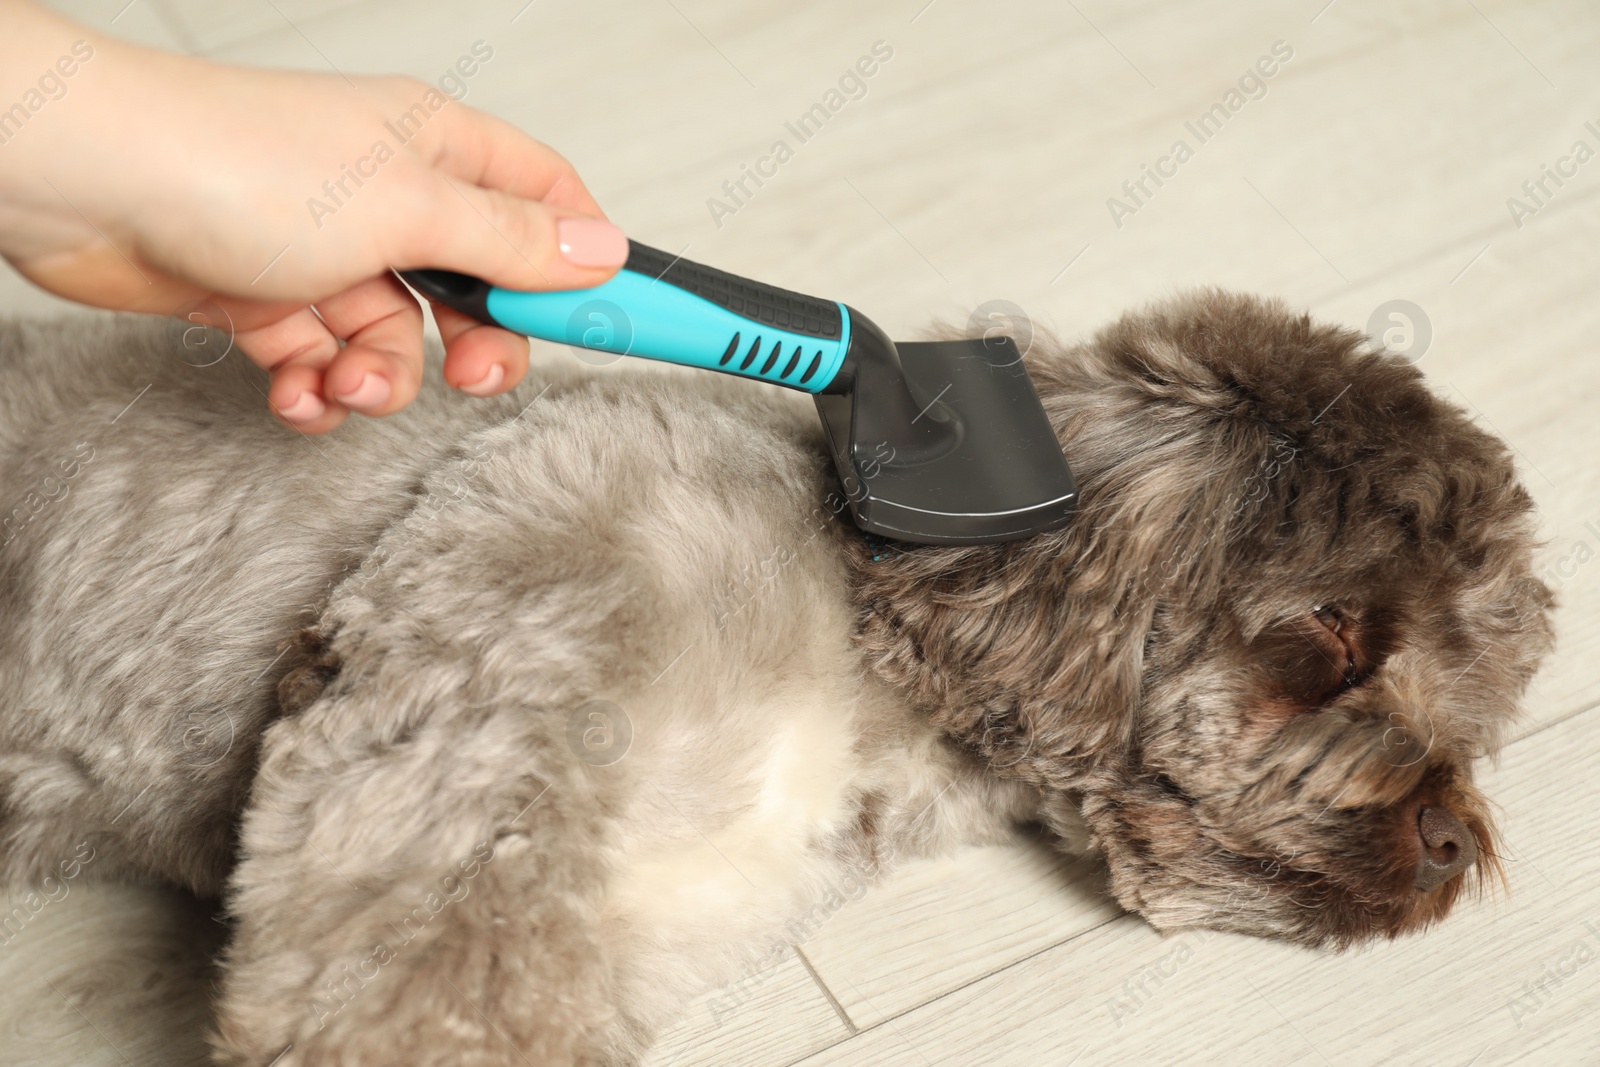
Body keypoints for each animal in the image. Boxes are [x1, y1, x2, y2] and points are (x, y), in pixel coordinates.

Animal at [0, 287, 1548, 1062]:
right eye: (1331, 637)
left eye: (1478, 692)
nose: (1451, 837)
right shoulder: (474, 747)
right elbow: (427, 987)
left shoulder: (663, 902)